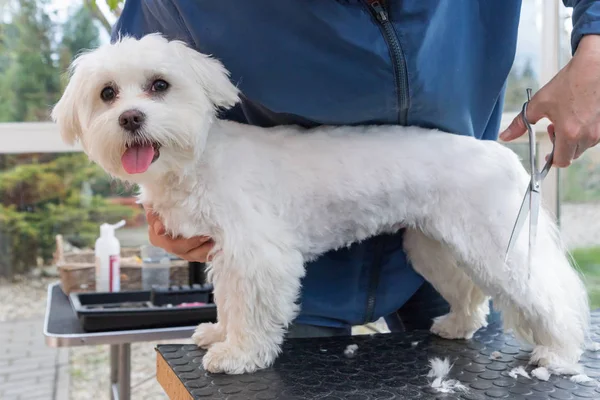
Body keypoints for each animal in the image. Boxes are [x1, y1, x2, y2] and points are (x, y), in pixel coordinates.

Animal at [49, 33, 588, 376]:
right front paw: (219, 333)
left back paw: (559, 355)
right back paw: (457, 324)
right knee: (468, 296)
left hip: (501, 246)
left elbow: (252, 310)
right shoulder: (224, 253)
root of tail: (497, 152)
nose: (131, 117)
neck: (198, 157)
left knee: (553, 298)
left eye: (160, 85)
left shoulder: (258, 256)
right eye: (107, 93)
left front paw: (238, 354)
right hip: (436, 246)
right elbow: (229, 301)